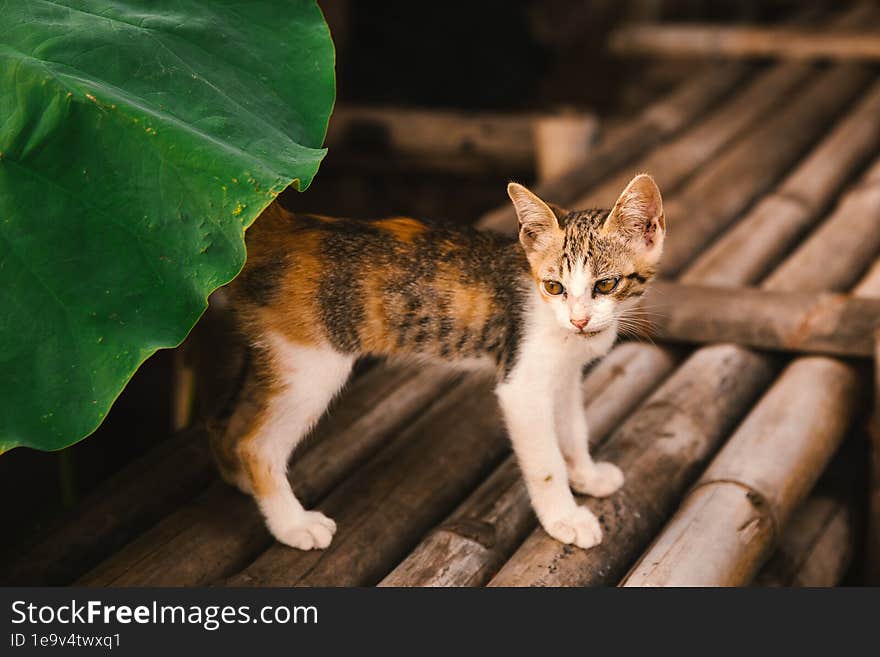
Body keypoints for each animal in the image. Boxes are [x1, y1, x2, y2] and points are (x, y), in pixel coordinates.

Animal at [213, 173, 664, 548]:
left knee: (232, 427)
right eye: (554, 287)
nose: (579, 319)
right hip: (312, 365)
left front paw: (587, 475)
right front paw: (564, 519)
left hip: (280, 355)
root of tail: (284, 226)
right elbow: (546, 462)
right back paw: (292, 524)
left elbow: (573, 430)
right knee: (256, 444)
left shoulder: (565, 375)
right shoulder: (522, 387)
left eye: (606, 285)